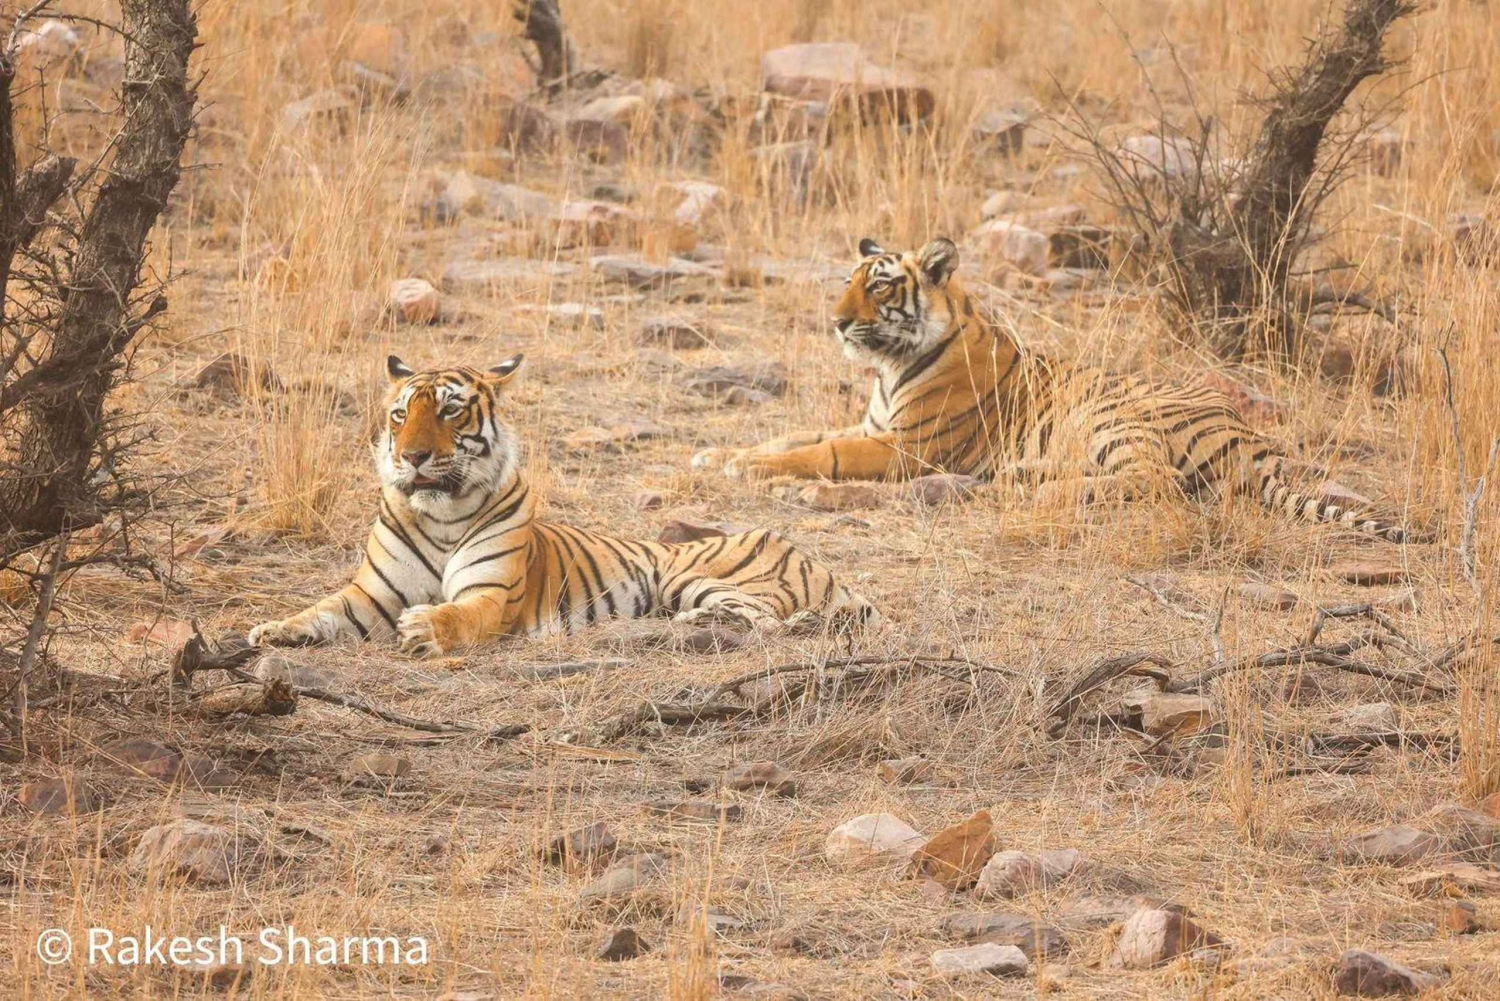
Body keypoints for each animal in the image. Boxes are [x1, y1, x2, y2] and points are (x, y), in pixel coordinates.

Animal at [248, 355, 877, 657]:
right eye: (401, 414)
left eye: (450, 410)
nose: (413, 457)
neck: (442, 514)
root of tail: (809, 555)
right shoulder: (371, 595)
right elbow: (320, 611)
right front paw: (270, 630)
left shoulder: (491, 596)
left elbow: (458, 615)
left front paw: (425, 627)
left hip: (698, 574)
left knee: (767, 619)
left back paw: (695, 624)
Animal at [692, 237, 1416, 543]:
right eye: (849, 281)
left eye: (879, 285)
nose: (837, 322)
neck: (890, 366)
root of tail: (1258, 446)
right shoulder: (873, 428)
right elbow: (797, 435)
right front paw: (717, 455)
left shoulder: (904, 446)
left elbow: (819, 454)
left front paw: (746, 468)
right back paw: (1020, 476)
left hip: (1113, 414)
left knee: (1151, 483)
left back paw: (1028, 487)